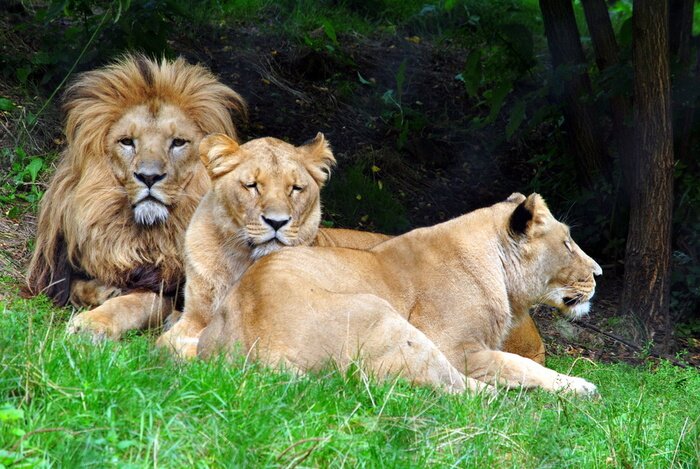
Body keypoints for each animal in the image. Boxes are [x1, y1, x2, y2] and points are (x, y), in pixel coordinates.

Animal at [26, 54, 247, 339]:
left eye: (178, 142)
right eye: (127, 141)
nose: (149, 177)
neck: (144, 238)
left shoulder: (170, 287)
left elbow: (136, 301)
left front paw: (92, 323)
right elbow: (79, 285)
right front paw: (103, 291)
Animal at [157, 134, 547, 365]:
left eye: (296, 188)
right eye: (252, 186)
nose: (277, 222)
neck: (242, 260)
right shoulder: (194, 315)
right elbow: (166, 339)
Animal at [197, 192, 601, 395]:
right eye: (567, 243)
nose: (599, 273)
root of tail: (262, 354)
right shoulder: (457, 348)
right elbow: (518, 363)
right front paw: (578, 386)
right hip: (387, 317)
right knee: (460, 391)